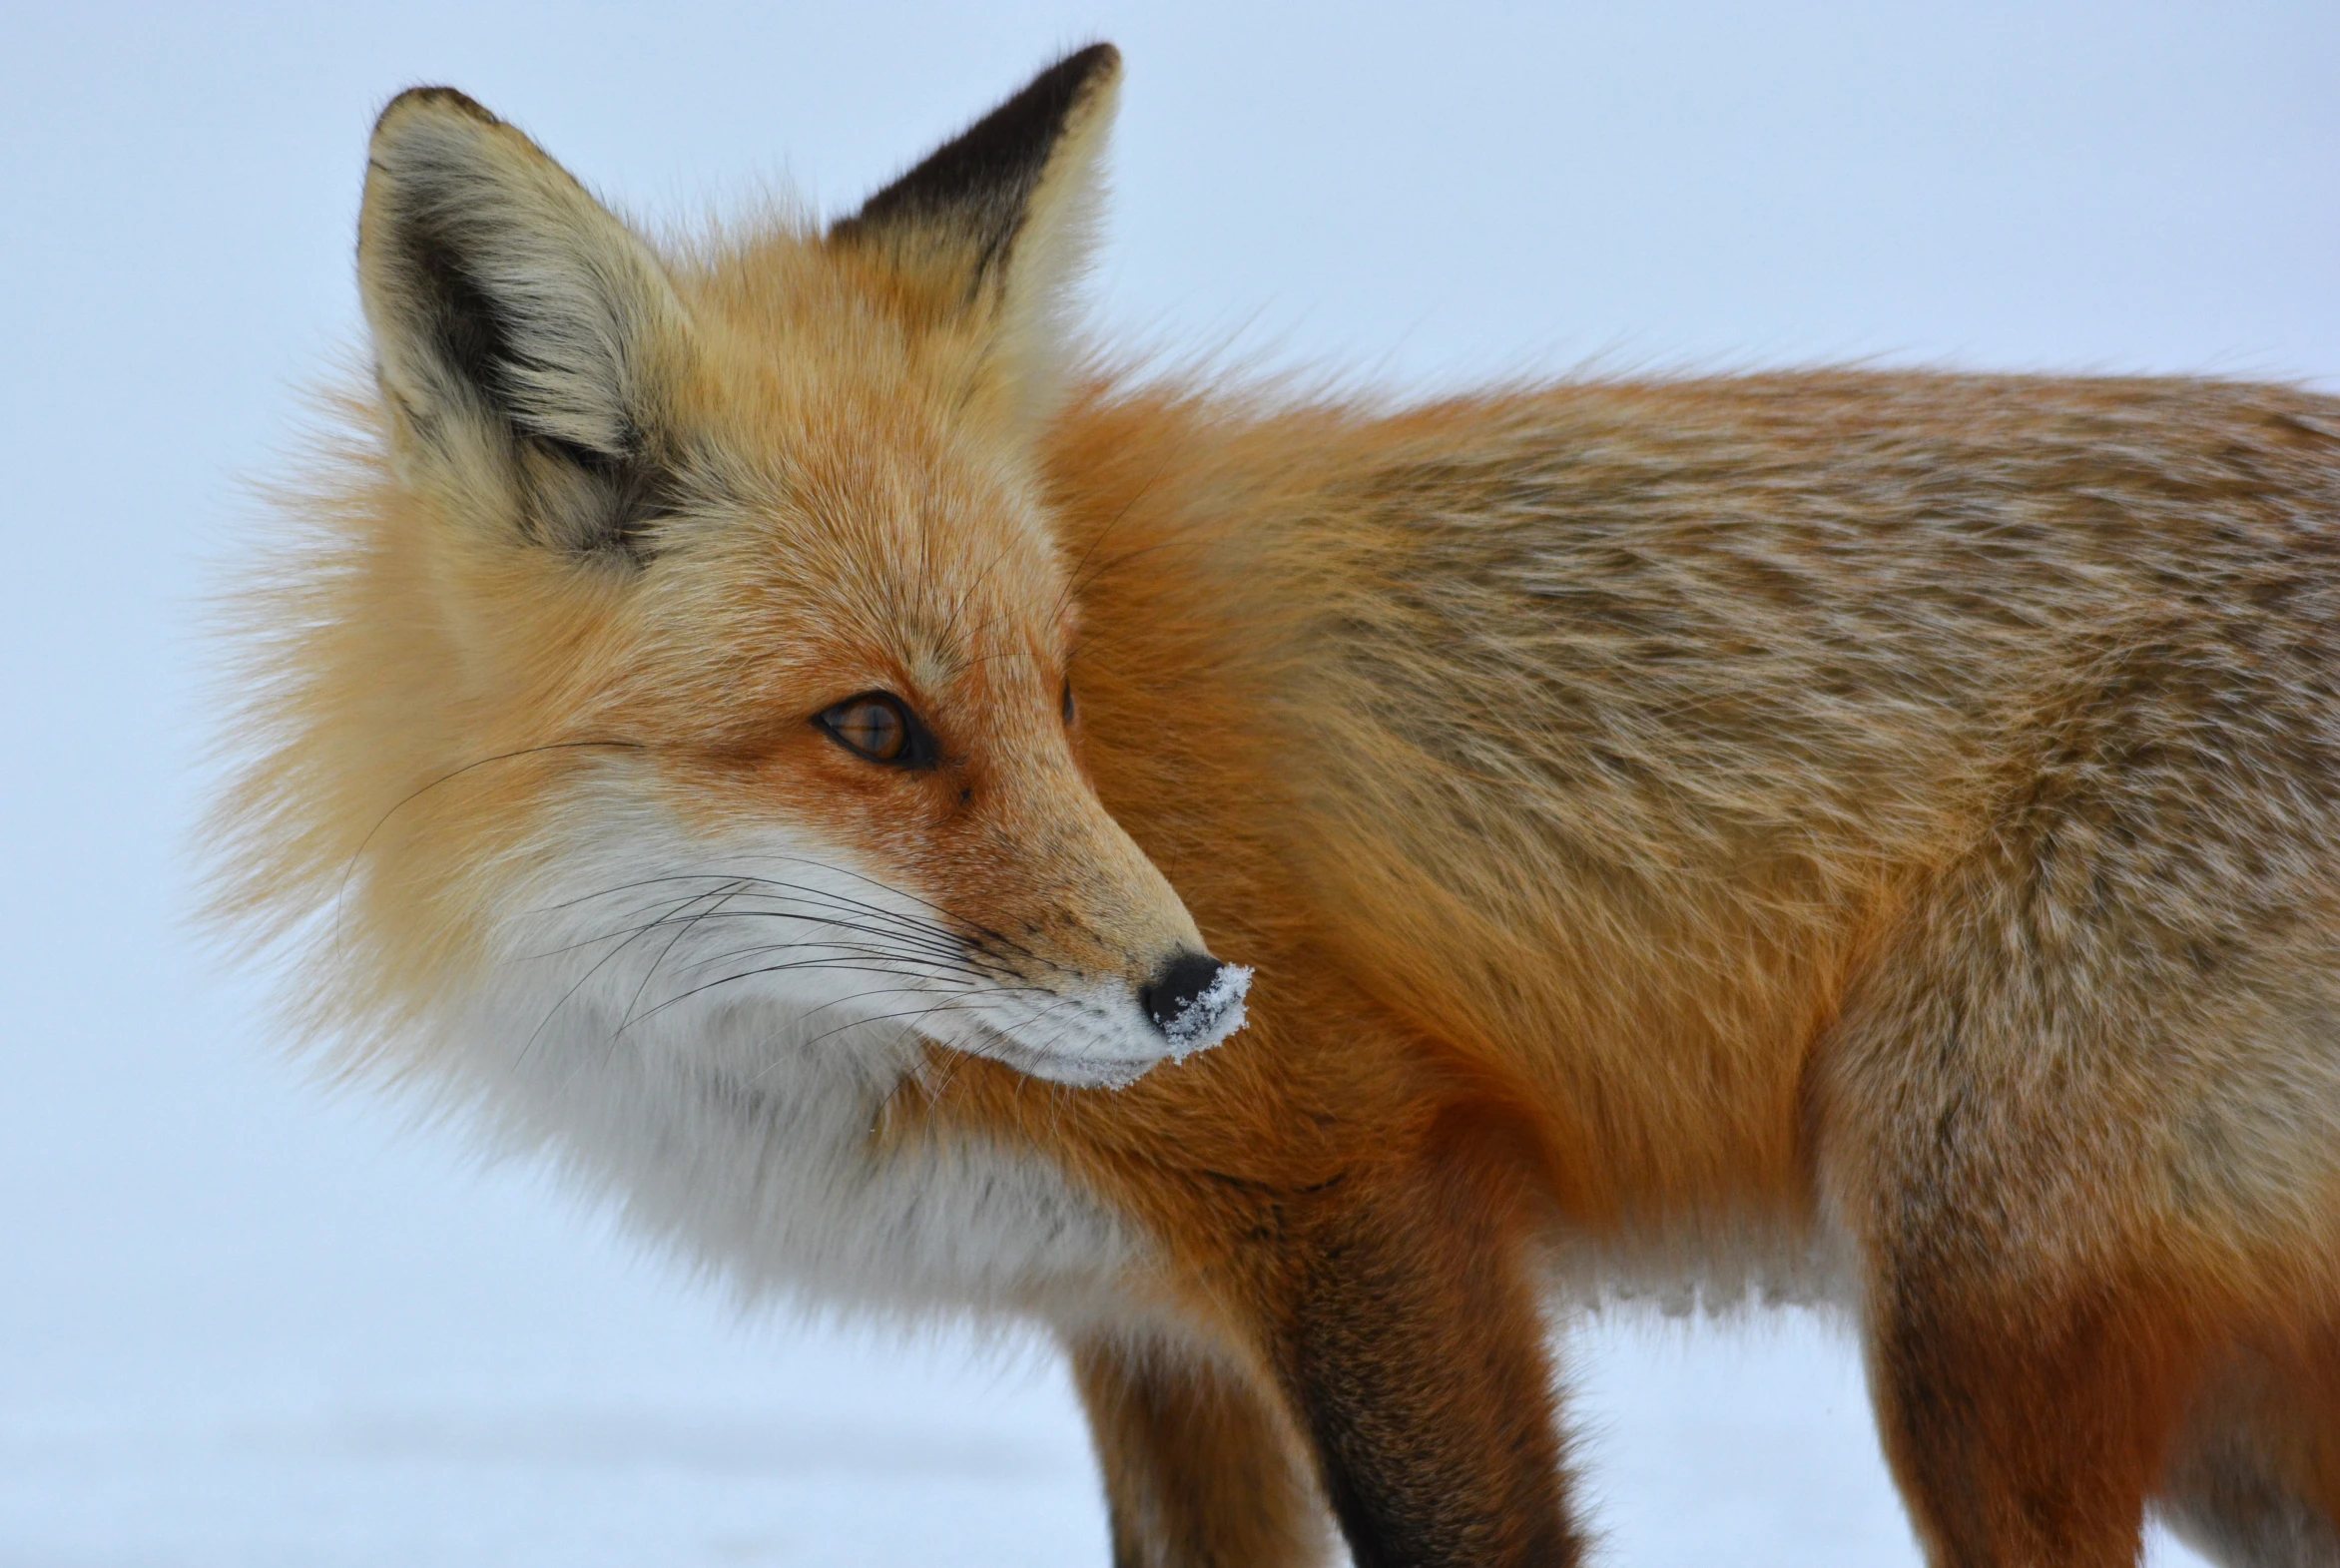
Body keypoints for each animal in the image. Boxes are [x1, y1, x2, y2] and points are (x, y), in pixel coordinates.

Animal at [206, 43, 2340, 1563]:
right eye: (874, 727)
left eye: (1059, 693)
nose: (1192, 992)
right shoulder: (1143, 1333)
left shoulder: (1359, 1191)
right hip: (2210, 1430)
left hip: (1970, 1327)